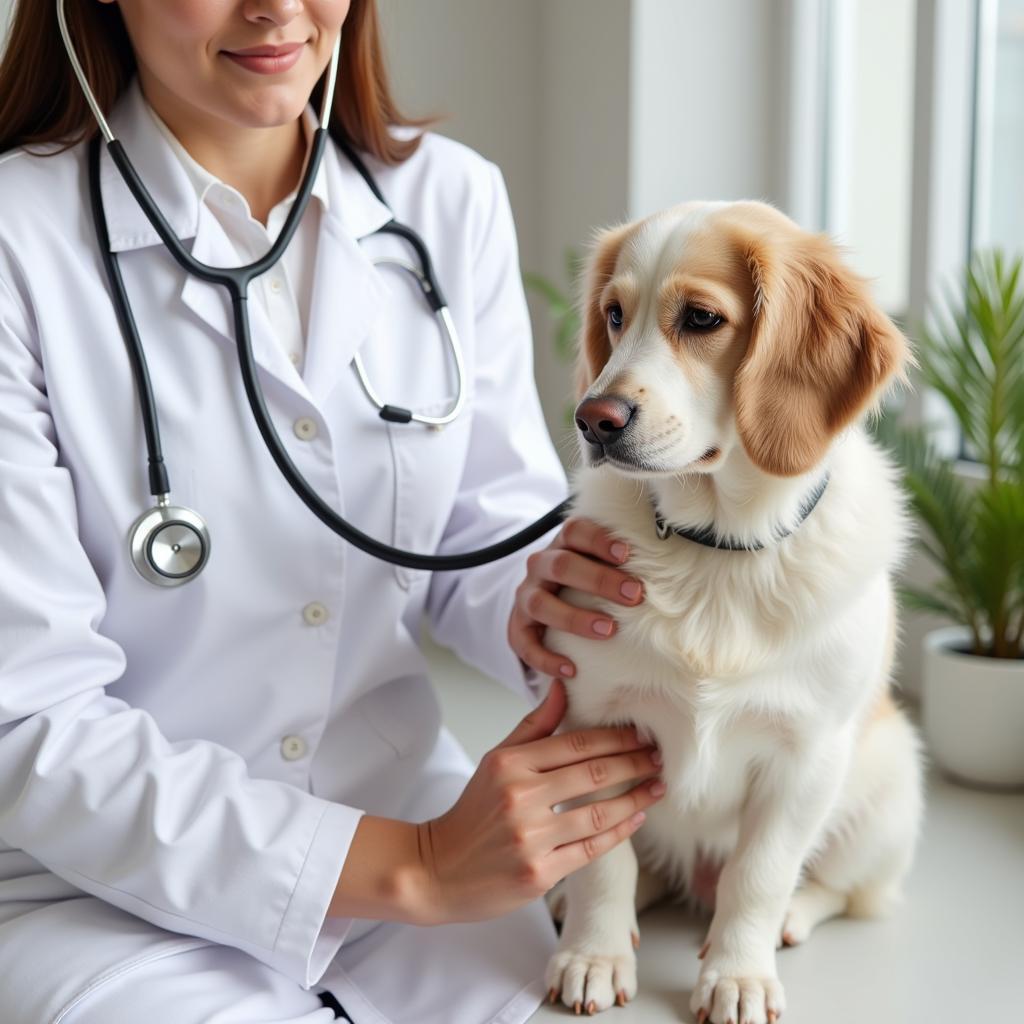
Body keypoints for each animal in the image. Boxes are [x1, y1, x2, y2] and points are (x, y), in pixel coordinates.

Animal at [540, 199, 925, 1024]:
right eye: (614, 315)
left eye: (702, 318)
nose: (594, 419)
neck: (715, 551)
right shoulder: (593, 724)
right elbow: (604, 861)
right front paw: (593, 953)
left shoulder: (805, 755)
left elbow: (760, 874)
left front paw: (739, 974)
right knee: (645, 868)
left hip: (887, 787)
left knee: (842, 890)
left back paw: (789, 919)